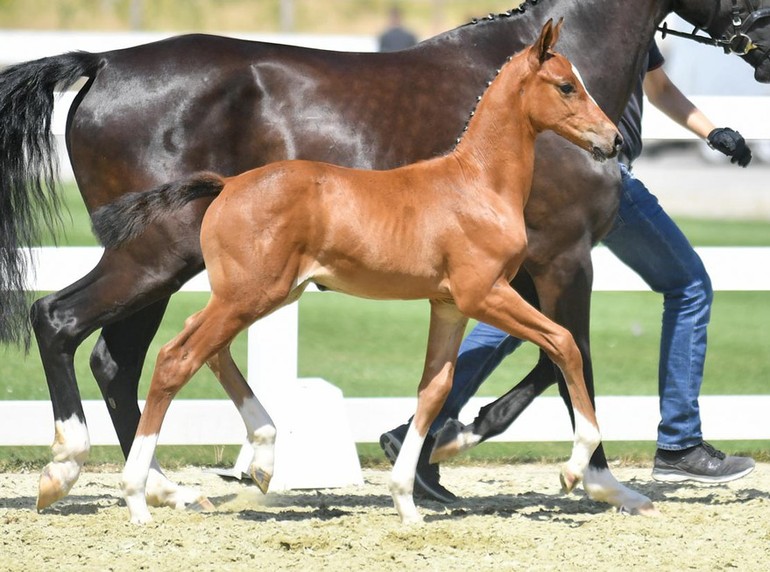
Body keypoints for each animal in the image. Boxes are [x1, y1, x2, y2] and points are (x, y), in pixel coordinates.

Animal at [112, 21, 616, 524]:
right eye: (566, 86)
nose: (613, 140)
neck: (478, 185)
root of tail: (228, 183)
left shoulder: (449, 305)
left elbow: (434, 389)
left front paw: (406, 502)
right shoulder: (485, 294)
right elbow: (564, 344)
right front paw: (574, 470)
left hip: (258, 296)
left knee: (210, 350)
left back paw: (262, 459)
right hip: (249, 296)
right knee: (177, 359)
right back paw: (140, 495)